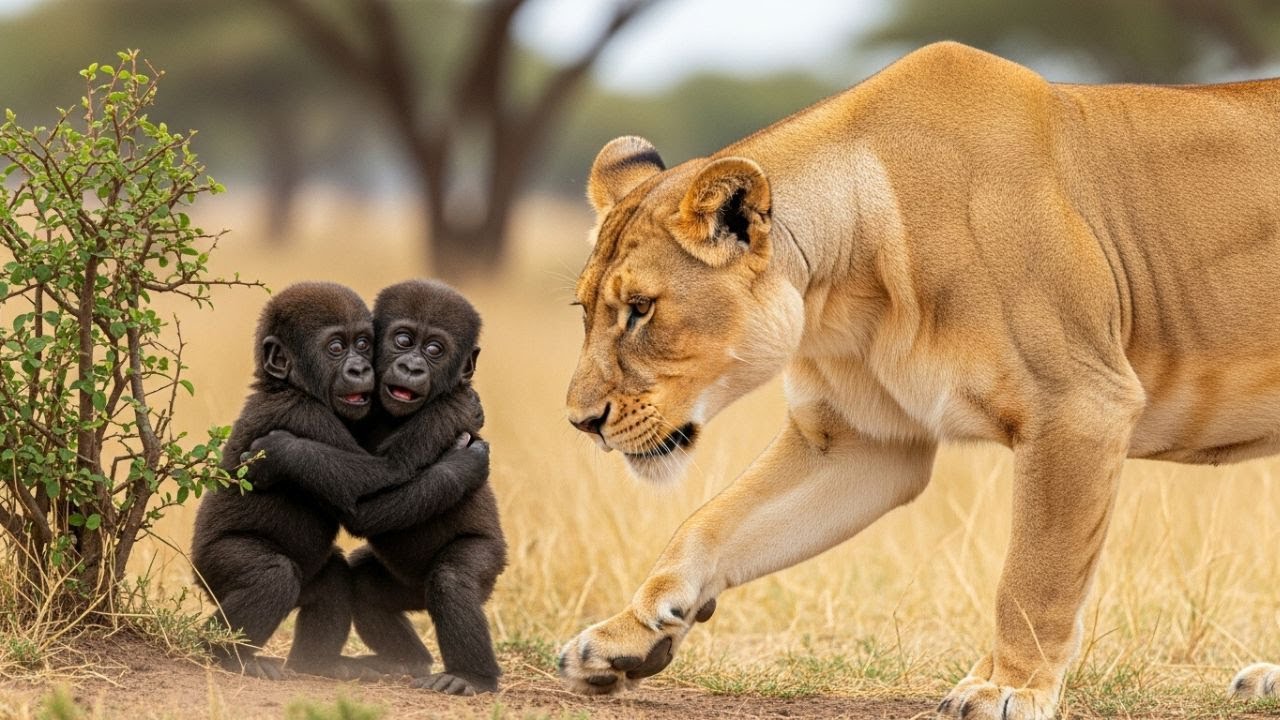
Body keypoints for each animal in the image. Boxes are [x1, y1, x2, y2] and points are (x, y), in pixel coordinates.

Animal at [556, 42, 1280, 719]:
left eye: (641, 310)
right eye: (585, 310)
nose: (580, 423)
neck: (845, 287)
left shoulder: (1081, 404)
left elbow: (1034, 575)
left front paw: (1007, 688)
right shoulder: (859, 442)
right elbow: (709, 526)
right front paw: (628, 637)